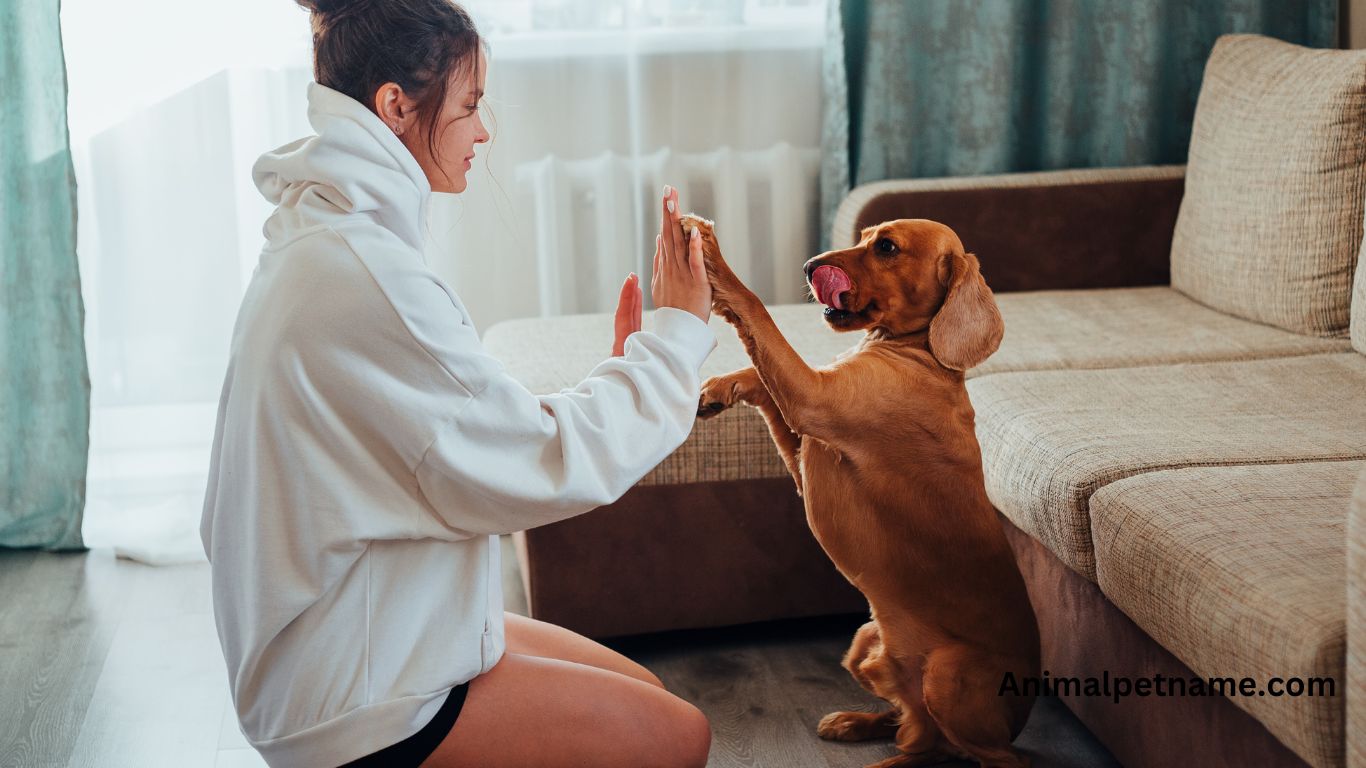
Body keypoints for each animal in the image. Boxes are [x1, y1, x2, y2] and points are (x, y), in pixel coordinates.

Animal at [688, 213, 1038, 765]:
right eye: (863, 236)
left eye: (887, 247)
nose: (810, 266)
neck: (922, 353)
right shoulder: (804, 443)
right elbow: (761, 377)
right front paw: (720, 389)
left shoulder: (812, 398)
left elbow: (756, 311)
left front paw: (714, 258)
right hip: (864, 642)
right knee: (917, 730)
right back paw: (857, 726)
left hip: (948, 674)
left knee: (977, 754)